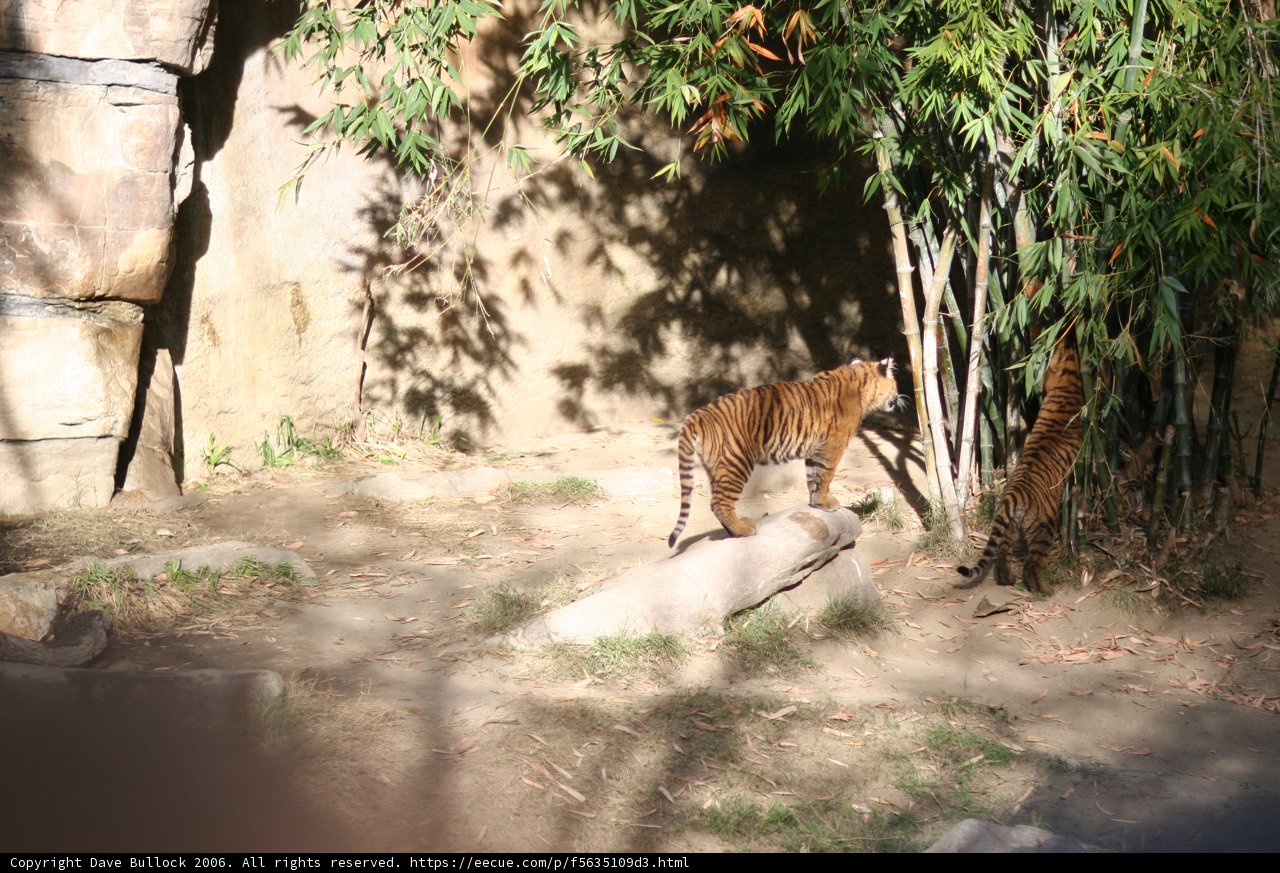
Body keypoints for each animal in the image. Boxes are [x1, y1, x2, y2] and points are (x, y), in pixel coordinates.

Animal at [667, 358, 901, 547]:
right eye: (896, 383)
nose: (899, 396)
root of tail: (698, 414)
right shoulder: (832, 446)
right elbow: (825, 475)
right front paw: (826, 502)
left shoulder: (815, 449)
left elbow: (813, 476)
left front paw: (816, 503)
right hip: (737, 461)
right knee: (719, 502)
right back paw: (744, 530)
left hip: (716, 467)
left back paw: (733, 530)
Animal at [956, 334, 1084, 594]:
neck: (1067, 378)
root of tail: (1013, 494)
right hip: (1043, 527)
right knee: (1031, 564)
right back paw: (1044, 589)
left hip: (1007, 526)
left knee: (1001, 556)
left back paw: (1007, 579)